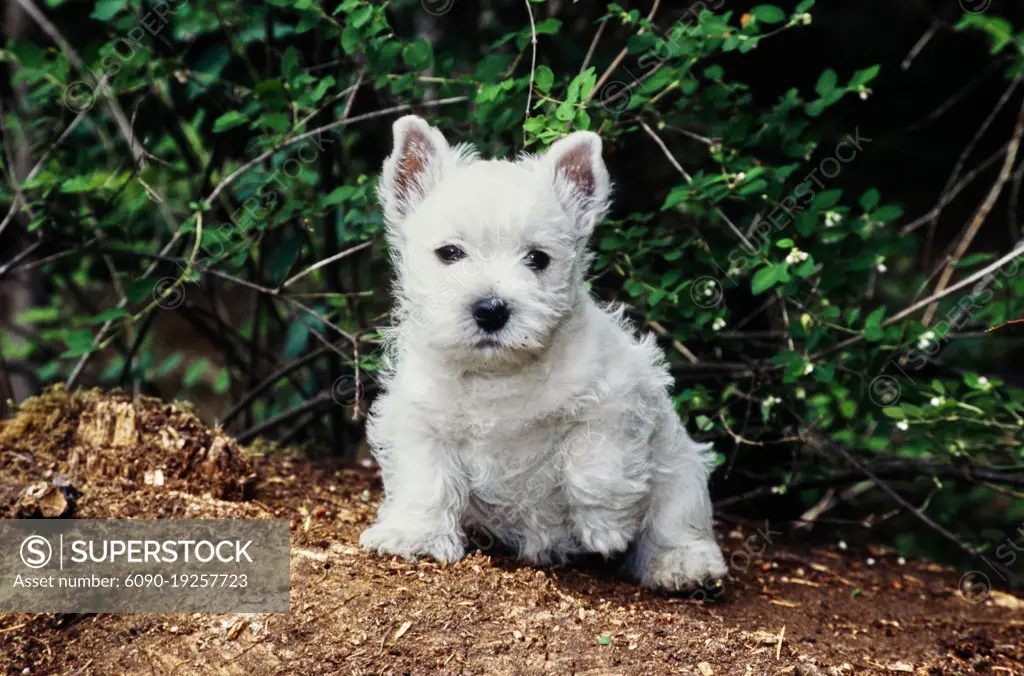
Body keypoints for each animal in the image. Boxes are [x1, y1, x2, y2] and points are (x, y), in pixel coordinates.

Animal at [360, 113, 729, 589]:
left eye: (537, 258)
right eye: (450, 253)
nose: (491, 309)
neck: (499, 375)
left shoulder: (615, 398)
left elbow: (594, 461)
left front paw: (605, 528)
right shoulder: (421, 420)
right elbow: (426, 479)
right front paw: (415, 536)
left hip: (681, 472)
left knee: (676, 522)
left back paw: (681, 564)